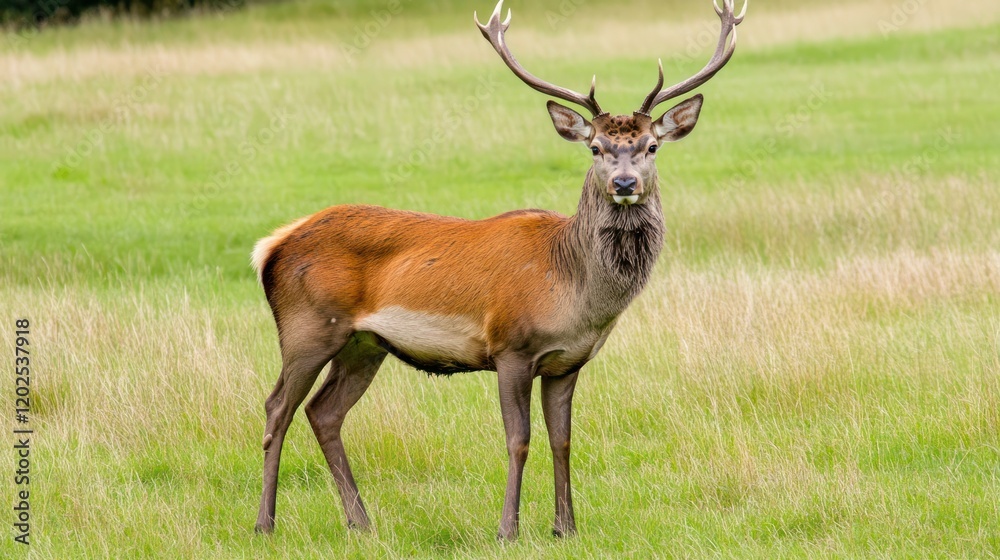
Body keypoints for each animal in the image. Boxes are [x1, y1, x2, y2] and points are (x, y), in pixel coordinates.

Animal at [251, 0, 747, 541]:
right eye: (594, 147)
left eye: (652, 146)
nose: (623, 183)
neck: (573, 292)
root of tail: (271, 246)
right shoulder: (510, 347)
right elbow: (518, 439)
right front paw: (508, 528)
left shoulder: (568, 362)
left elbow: (562, 440)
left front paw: (566, 527)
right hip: (308, 328)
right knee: (277, 408)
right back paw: (265, 523)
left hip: (365, 344)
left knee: (324, 412)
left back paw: (361, 523)